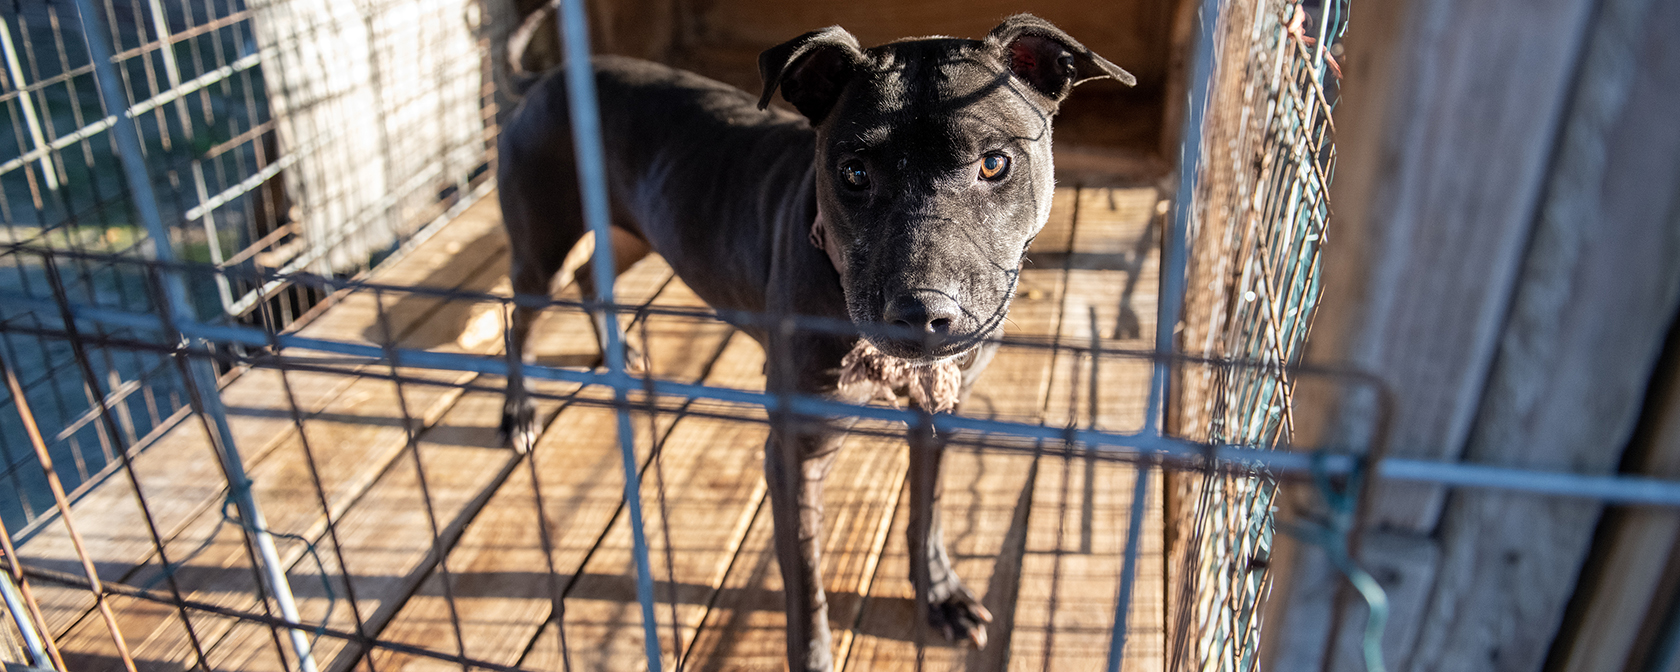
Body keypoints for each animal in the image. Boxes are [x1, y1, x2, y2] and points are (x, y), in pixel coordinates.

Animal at [493, 14, 1128, 665]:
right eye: (853, 172)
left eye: (996, 164)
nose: (921, 312)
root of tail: (547, 78)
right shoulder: (796, 455)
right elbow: (804, 579)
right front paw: (815, 653)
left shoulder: (939, 414)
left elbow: (926, 514)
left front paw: (941, 596)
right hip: (541, 253)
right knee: (518, 320)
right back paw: (519, 412)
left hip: (633, 231)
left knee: (592, 279)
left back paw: (617, 350)